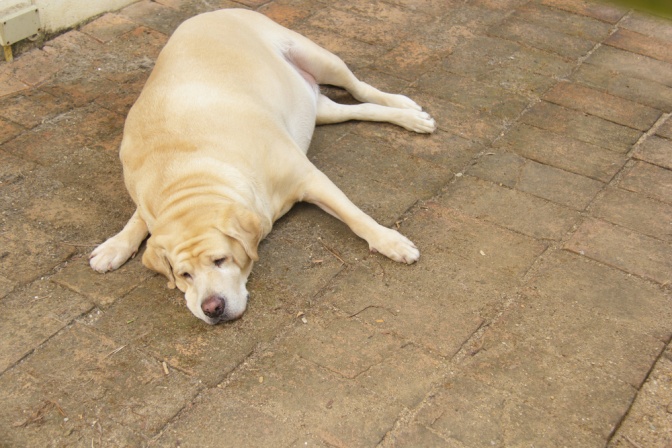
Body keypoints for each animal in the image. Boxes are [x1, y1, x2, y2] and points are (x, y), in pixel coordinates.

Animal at [89, 8, 436, 324]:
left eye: (220, 260)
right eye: (184, 274)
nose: (211, 308)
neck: (188, 175)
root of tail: (210, 11)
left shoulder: (309, 178)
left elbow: (356, 216)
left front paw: (391, 242)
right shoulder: (152, 200)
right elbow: (138, 219)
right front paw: (115, 246)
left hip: (319, 57)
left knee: (360, 87)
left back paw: (406, 108)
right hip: (317, 109)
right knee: (357, 109)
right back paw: (406, 116)